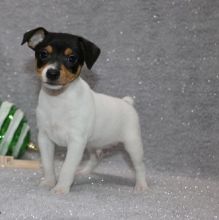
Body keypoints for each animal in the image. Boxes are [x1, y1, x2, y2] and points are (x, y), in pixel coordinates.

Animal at [21, 27, 148, 194]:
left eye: (72, 58)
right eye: (43, 54)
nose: (52, 73)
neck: (58, 100)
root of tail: (127, 102)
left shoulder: (76, 141)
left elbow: (67, 167)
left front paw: (60, 188)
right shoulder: (45, 138)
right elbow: (47, 164)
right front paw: (49, 182)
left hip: (133, 144)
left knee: (139, 166)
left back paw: (141, 185)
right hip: (92, 144)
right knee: (96, 157)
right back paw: (83, 171)